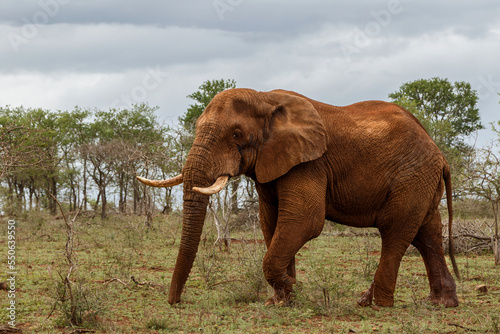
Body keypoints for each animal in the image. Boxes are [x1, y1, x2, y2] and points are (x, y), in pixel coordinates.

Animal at [137, 88, 460, 308]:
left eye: (237, 134)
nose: (175, 302)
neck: (265, 98)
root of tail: (439, 154)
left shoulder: (310, 162)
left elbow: (304, 221)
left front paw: (292, 294)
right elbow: (272, 222)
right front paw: (282, 300)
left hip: (412, 176)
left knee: (395, 231)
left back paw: (374, 304)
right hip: (421, 180)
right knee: (427, 234)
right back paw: (440, 303)